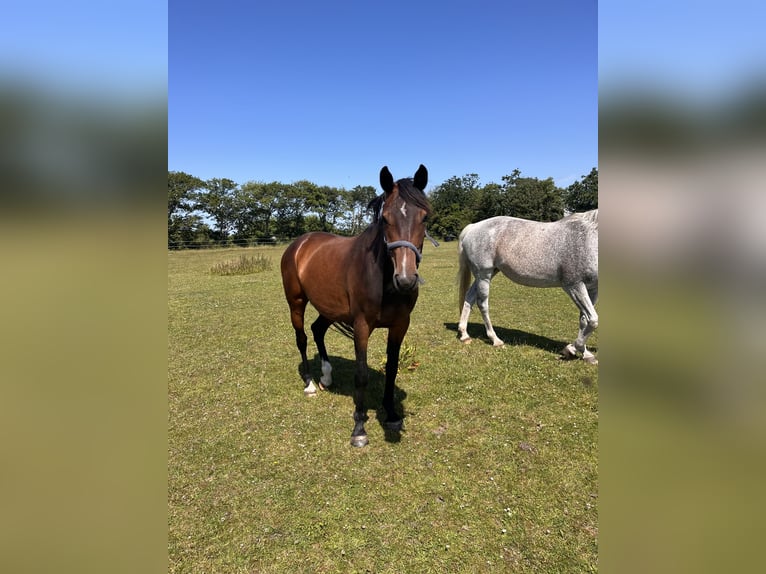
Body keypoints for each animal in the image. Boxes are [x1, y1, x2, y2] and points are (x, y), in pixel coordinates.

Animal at [281, 165, 431, 447]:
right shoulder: (361, 326)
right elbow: (361, 375)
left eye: (425, 217)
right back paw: (309, 384)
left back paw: (326, 376)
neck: (383, 277)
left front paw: (391, 414)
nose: (406, 280)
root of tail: (300, 243)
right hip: (296, 303)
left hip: (329, 308)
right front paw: (359, 428)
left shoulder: (400, 325)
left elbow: (392, 368)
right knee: (302, 338)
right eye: (385, 219)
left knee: (318, 330)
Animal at [456, 210, 599, 364]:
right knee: (482, 304)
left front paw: (585, 354)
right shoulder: (573, 285)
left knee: (469, 297)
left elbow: (584, 320)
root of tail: (473, 227)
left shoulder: (592, 289)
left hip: (487, 274)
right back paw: (496, 340)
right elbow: (593, 320)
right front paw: (571, 349)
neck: (588, 238)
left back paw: (464, 335)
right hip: (484, 275)